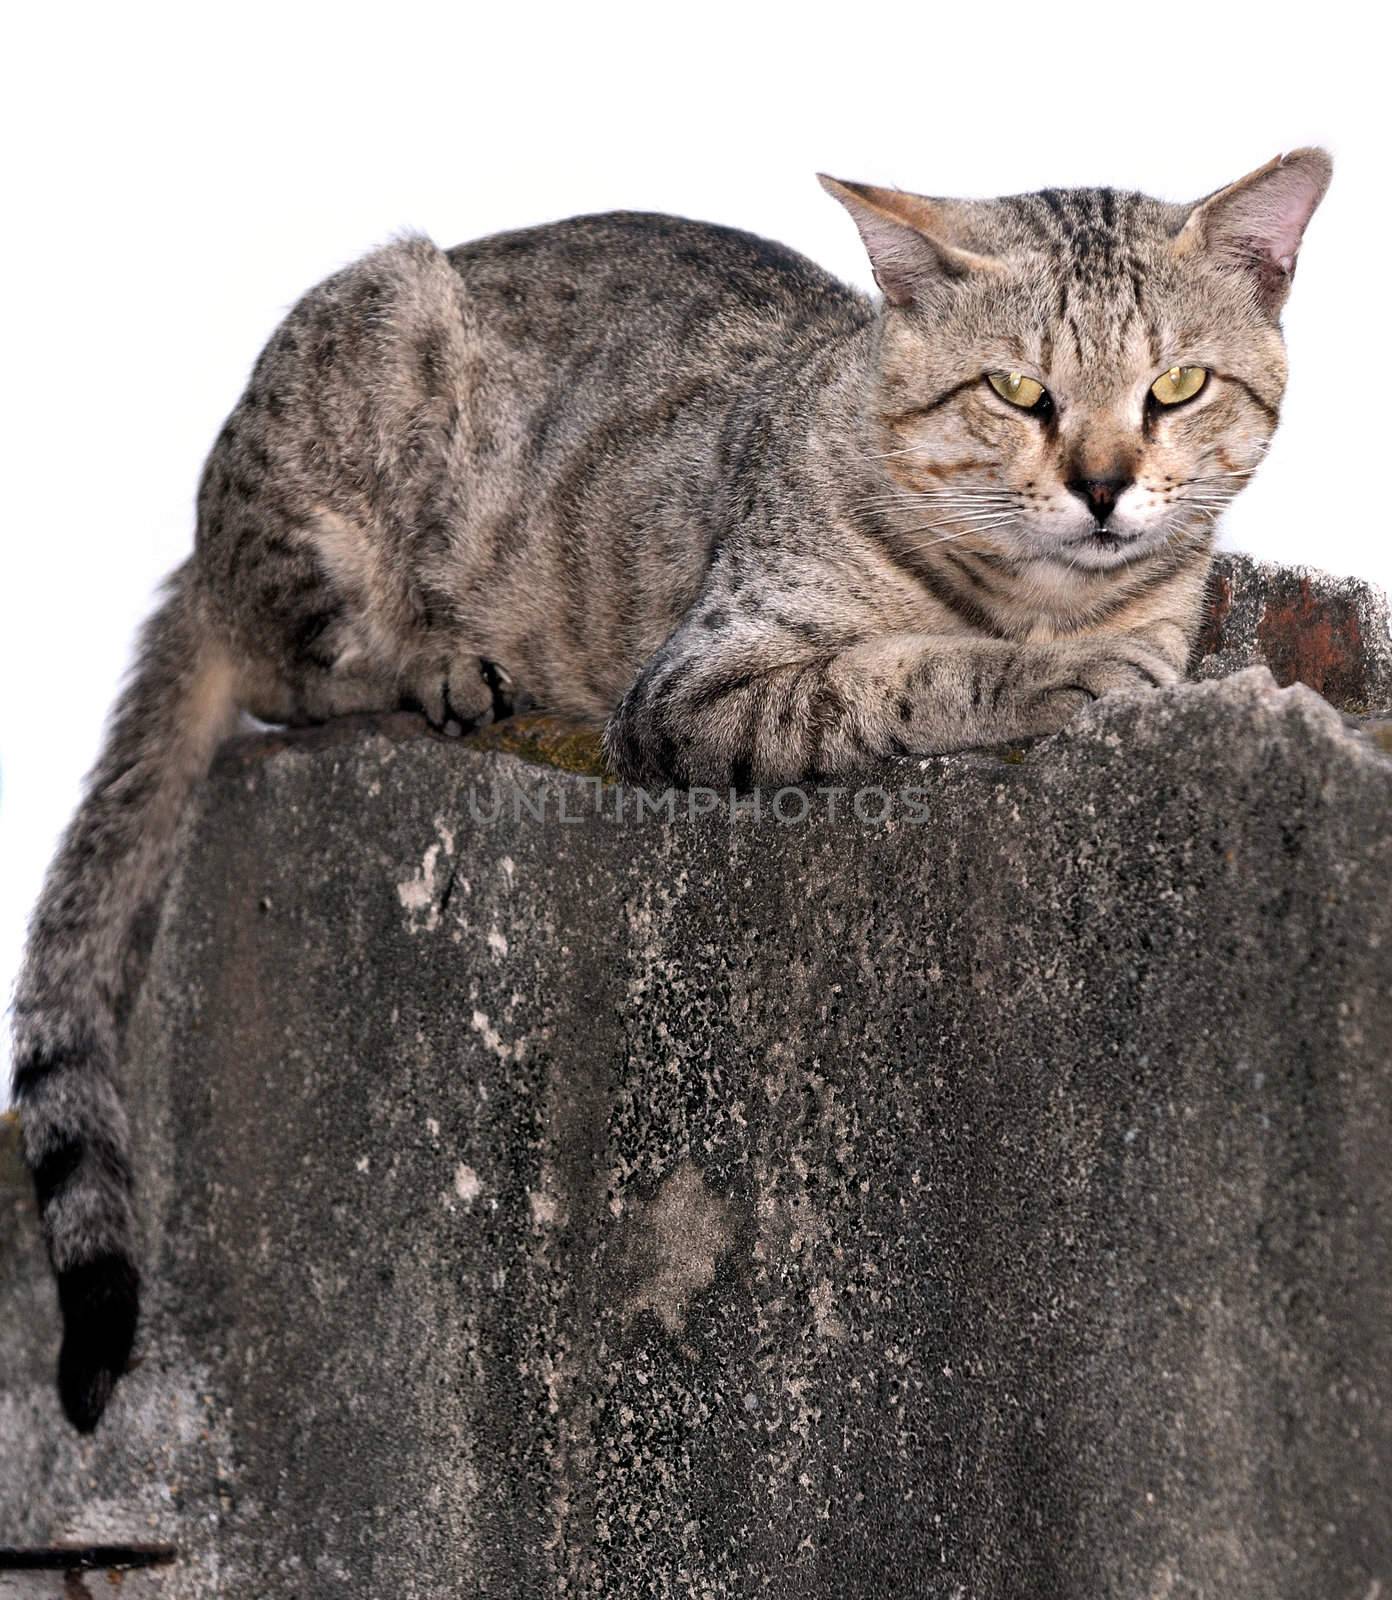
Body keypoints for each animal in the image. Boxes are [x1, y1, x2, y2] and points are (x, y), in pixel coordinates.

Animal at [13, 147, 1337, 1427]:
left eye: (1178, 386)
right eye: (1017, 392)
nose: (1104, 484)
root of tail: (201, 558)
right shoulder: (692, 689)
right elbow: (905, 666)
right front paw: (1050, 671)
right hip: (369, 366)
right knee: (298, 669)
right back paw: (436, 662)